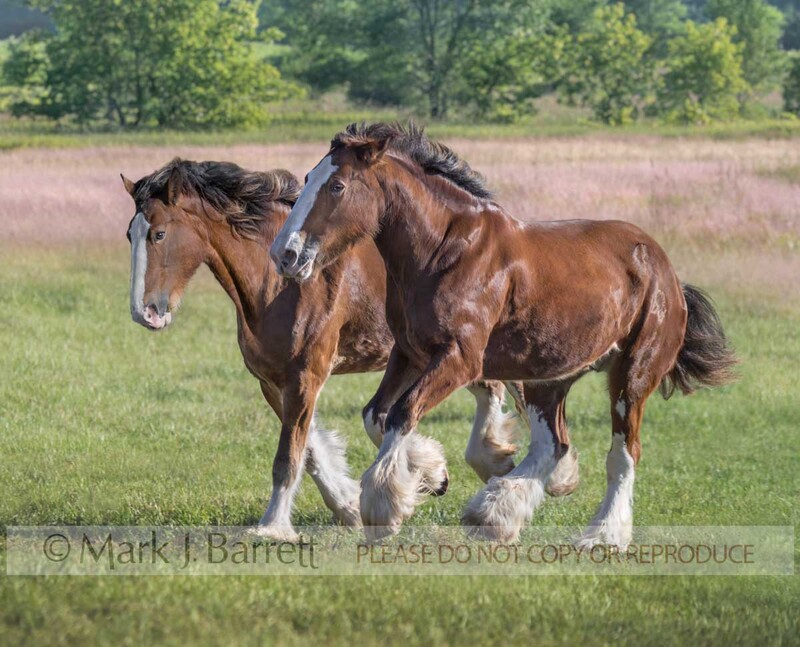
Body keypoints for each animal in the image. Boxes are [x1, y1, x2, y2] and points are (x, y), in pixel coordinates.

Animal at [122, 158, 523, 541]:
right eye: (130, 235)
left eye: (159, 234)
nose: (145, 313)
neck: (279, 286)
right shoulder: (272, 382)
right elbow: (312, 450)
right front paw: (361, 502)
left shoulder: (306, 376)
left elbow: (289, 456)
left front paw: (273, 526)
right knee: (488, 389)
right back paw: (488, 463)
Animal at [270, 122, 737, 546]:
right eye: (309, 178)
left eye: (337, 186)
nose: (285, 255)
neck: (446, 251)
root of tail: (664, 268)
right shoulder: (409, 353)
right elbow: (377, 415)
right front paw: (430, 475)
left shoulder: (459, 359)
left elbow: (403, 413)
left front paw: (383, 508)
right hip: (548, 376)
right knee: (553, 445)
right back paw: (495, 512)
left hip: (632, 376)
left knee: (622, 454)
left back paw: (602, 535)